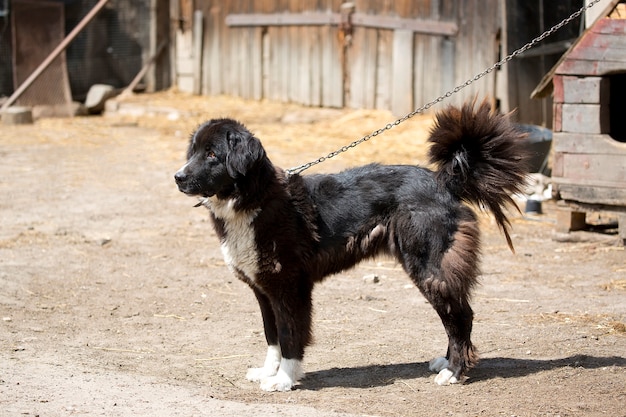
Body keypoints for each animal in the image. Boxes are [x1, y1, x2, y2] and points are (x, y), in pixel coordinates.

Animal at [173, 101, 524, 390]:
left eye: (212, 155)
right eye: (192, 152)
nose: (178, 177)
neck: (254, 199)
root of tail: (444, 181)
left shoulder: (289, 287)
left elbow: (289, 335)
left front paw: (284, 379)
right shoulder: (263, 290)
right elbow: (271, 336)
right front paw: (268, 371)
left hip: (430, 268)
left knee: (461, 316)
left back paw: (454, 371)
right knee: (455, 315)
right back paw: (446, 362)